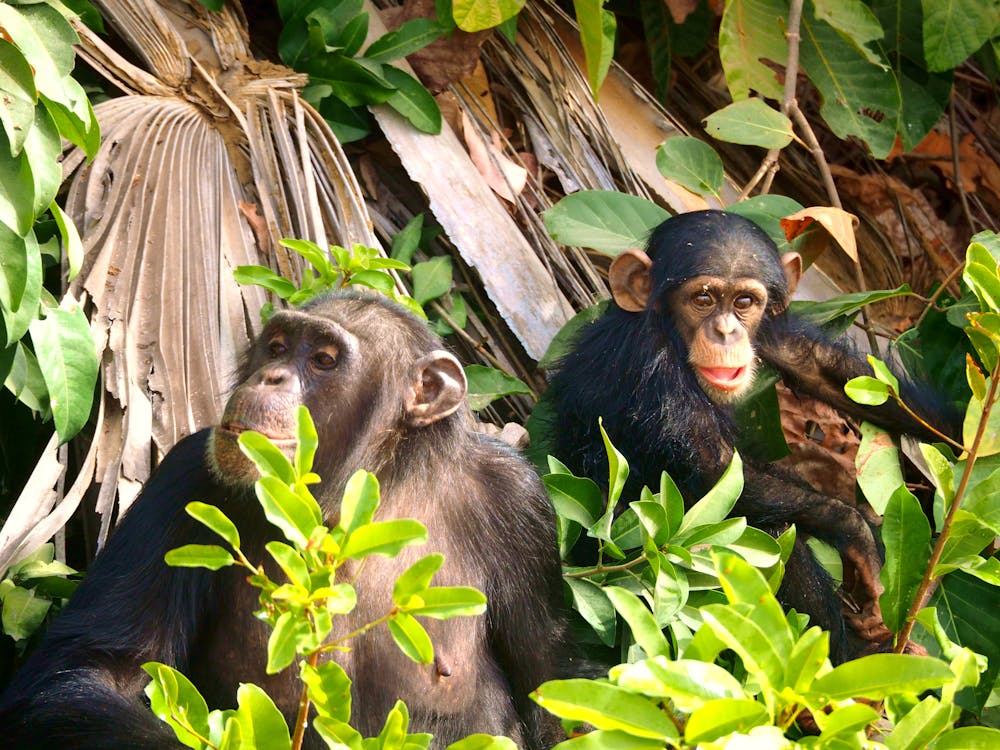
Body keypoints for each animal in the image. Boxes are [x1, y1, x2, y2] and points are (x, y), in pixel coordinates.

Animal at [0, 290, 572, 748]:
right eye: (276, 347)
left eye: (323, 359)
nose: (269, 375)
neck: (369, 493)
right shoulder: (182, 481)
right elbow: (91, 669)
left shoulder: (519, 503)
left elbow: (550, 688)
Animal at [544, 212, 956, 664]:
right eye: (703, 299)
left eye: (744, 303)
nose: (726, 331)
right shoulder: (653, 369)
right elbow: (720, 475)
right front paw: (856, 534)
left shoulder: (771, 332)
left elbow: (822, 369)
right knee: (772, 531)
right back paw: (857, 653)